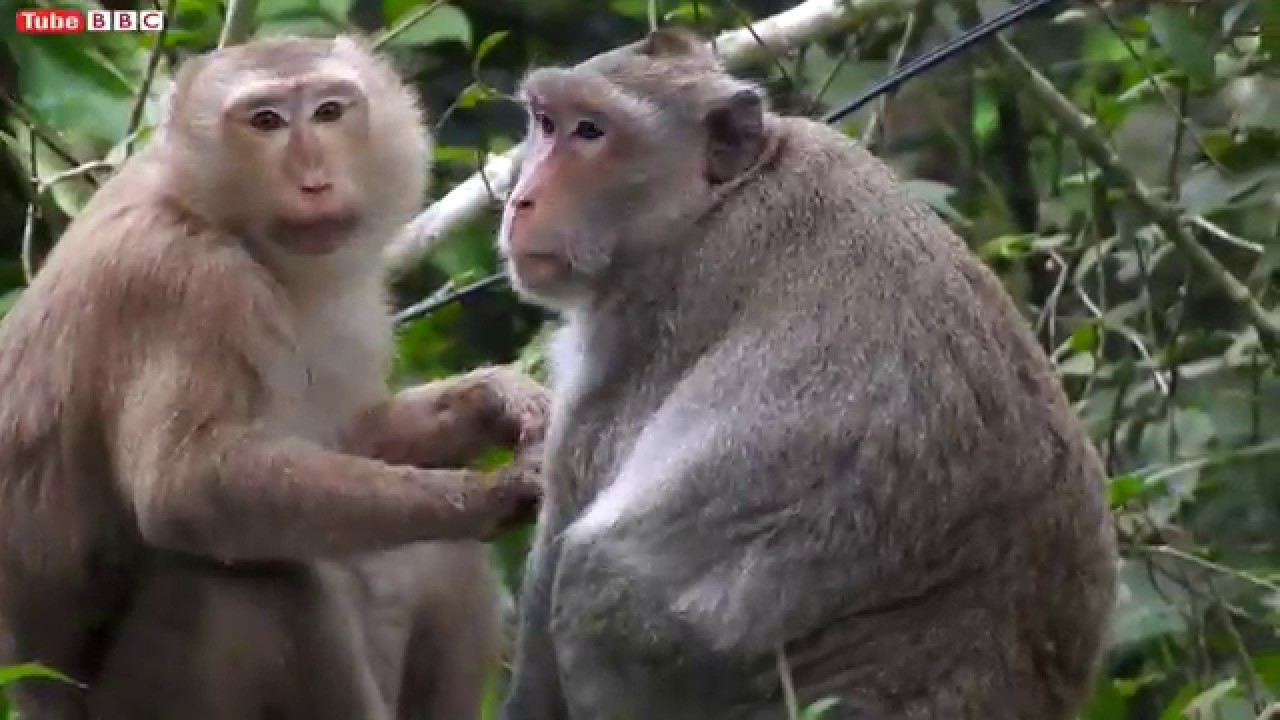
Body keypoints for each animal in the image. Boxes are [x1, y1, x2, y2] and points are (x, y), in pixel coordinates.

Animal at [0, 34, 545, 719]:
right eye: (266, 122)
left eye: (329, 112)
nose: (314, 179)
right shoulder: (183, 285)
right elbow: (185, 484)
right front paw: (494, 492)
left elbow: (351, 436)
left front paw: (499, 400)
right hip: (142, 701)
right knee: (244, 582)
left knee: (436, 551)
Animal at [496, 27, 1119, 720]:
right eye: (545, 124)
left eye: (591, 131)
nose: (520, 199)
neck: (716, 202)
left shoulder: (637, 328)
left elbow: (567, 537)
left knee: (597, 578)